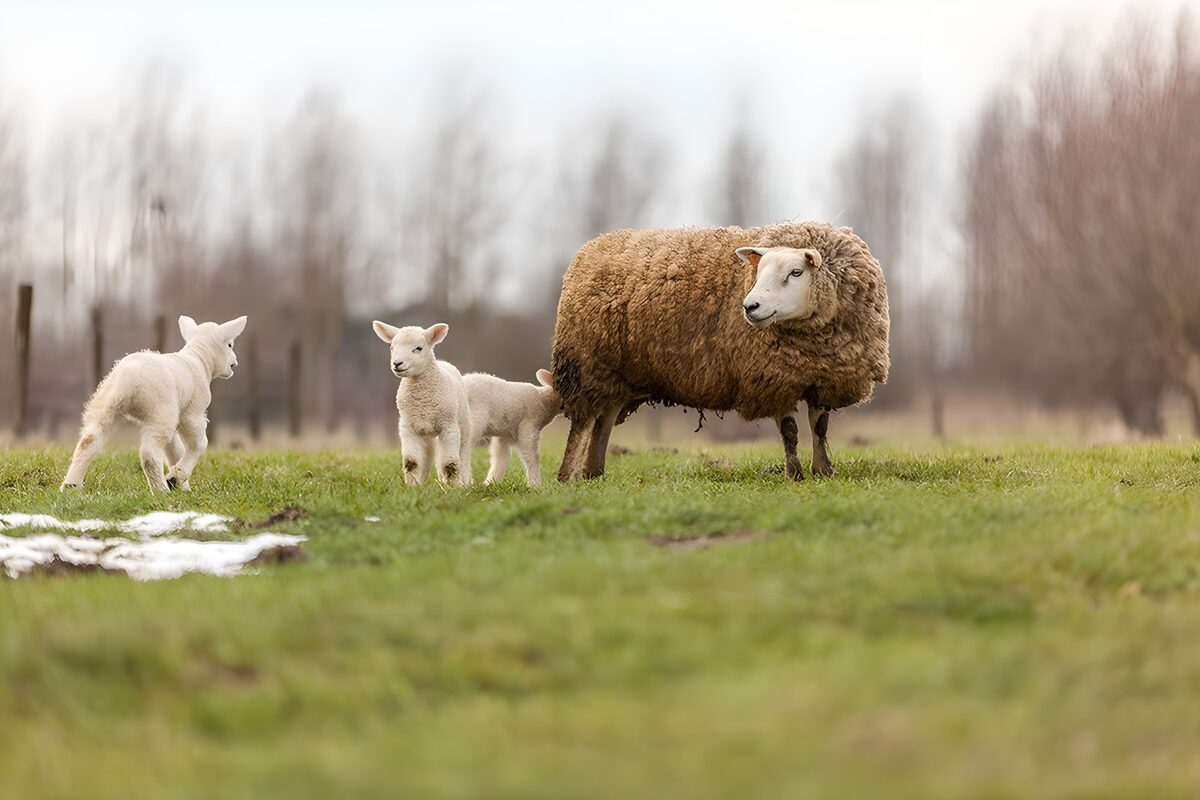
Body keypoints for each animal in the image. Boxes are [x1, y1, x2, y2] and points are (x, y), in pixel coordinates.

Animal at [60, 315, 248, 493]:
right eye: (229, 344)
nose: (235, 363)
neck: (199, 358)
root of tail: (129, 377)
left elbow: (175, 450)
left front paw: (183, 487)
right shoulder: (192, 413)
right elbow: (199, 445)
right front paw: (174, 478)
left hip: (106, 405)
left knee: (88, 441)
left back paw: (71, 486)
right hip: (160, 411)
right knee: (149, 453)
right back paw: (161, 490)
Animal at [372, 320, 473, 486]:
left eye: (418, 348)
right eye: (392, 347)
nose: (397, 363)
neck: (422, 400)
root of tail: (443, 362)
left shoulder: (448, 426)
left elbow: (450, 463)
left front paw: (454, 487)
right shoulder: (408, 427)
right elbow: (411, 462)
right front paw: (413, 486)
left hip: (463, 425)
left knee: (463, 454)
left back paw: (464, 481)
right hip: (426, 434)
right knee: (428, 455)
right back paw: (424, 482)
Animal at [550, 222, 889, 481]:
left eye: (796, 272)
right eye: (758, 272)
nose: (750, 306)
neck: (812, 343)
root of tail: (591, 247)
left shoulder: (822, 376)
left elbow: (819, 428)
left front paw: (823, 471)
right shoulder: (771, 378)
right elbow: (790, 431)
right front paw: (795, 474)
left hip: (616, 375)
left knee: (604, 419)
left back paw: (594, 472)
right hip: (586, 367)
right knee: (583, 423)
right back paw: (568, 476)